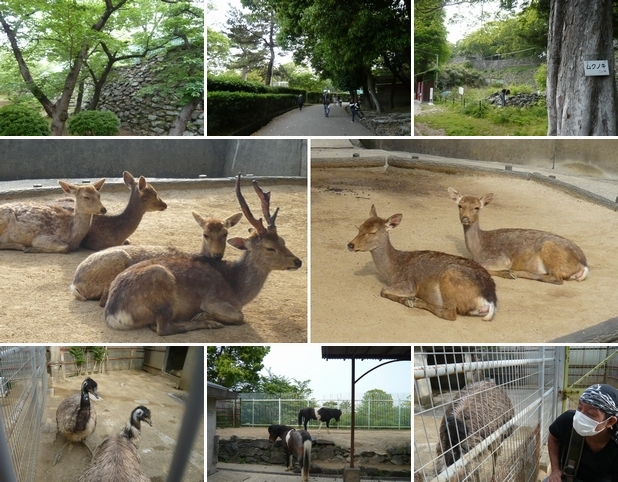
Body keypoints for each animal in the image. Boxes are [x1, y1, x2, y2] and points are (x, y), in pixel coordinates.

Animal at [103, 173, 300, 336]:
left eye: (283, 241)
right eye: (269, 248)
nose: (298, 262)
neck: (239, 291)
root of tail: (113, 314)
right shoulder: (213, 299)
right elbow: (240, 316)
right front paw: (204, 315)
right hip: (161, 285)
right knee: (163, 328)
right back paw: (207, 323)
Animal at [346, 203, 496, 320]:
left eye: (372, 232)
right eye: (359, 227)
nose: (350, 245)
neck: (393, 270)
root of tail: (490, 301)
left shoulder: (409, 284)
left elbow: (383, 290)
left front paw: (407, 300)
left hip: (450, 277)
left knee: (449, 314)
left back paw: (416, 301)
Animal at [448, 185, 588, 282]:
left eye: (477, 207)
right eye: (460, 205)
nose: (465, 218)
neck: (477, 249)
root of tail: (584, 265)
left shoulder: (501, 258)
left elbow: (483, 266)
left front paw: (507, 273)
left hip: (550, 249)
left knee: (556, 278)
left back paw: (515, 273)